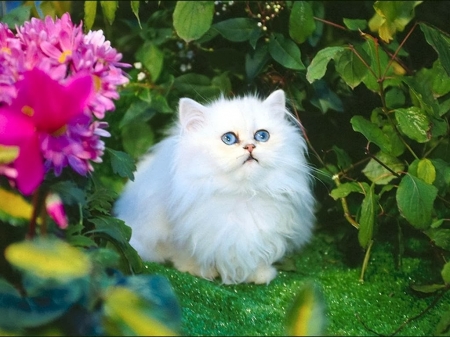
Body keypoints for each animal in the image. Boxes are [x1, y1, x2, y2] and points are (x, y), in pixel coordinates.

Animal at [114, 89, 314, 284]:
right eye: (229, 138)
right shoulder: (182, 233)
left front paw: (260, 275)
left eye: (262, 136)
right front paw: (196, 270)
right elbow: (185, 254)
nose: (250, 146)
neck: (242, 193)